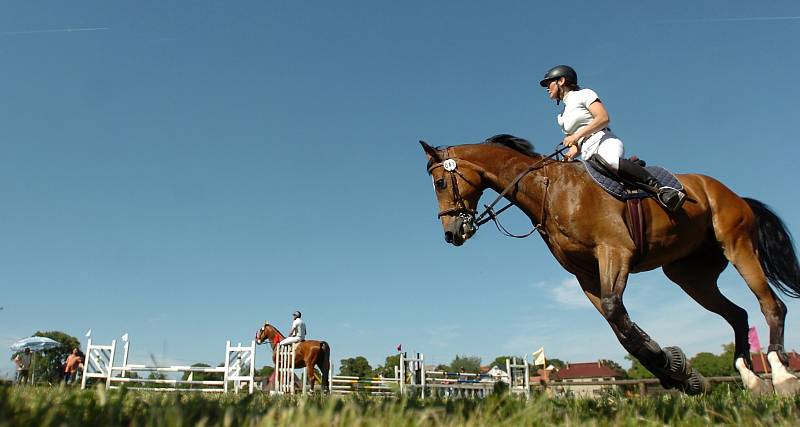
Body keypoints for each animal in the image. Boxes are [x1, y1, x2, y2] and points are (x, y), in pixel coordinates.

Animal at [422, 135, 796, 396]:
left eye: (440, 183)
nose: (452, 234)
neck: (550, 191)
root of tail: (733, 194)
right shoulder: (585, 274)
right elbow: (622, 329)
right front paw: (679, 372)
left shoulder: (615, 251)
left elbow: (617, 312)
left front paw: (673, 366)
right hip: (690, 276)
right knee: (738, 315)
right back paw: (752, 380)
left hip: (738, 246)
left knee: (771, 305)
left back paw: (781, 375)